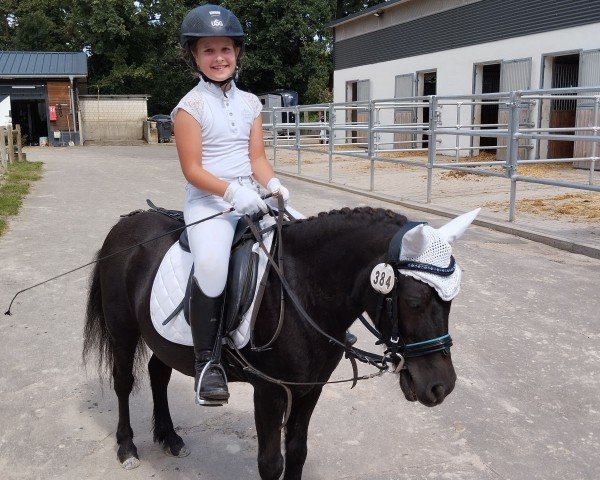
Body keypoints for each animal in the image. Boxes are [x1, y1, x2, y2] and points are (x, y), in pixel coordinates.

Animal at [82, 206, 474, 480]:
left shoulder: (310, 388)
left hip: (159, 338)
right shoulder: (269, 392)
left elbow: (297, 452)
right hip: (123, 330)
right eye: (414, 301)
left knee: (158, 374)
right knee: (123, 382)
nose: (442, 386)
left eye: (451, 301)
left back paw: (169, 437)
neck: (300, 289)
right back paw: (127, 447)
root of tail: (126, 224)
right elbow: (271, 462)